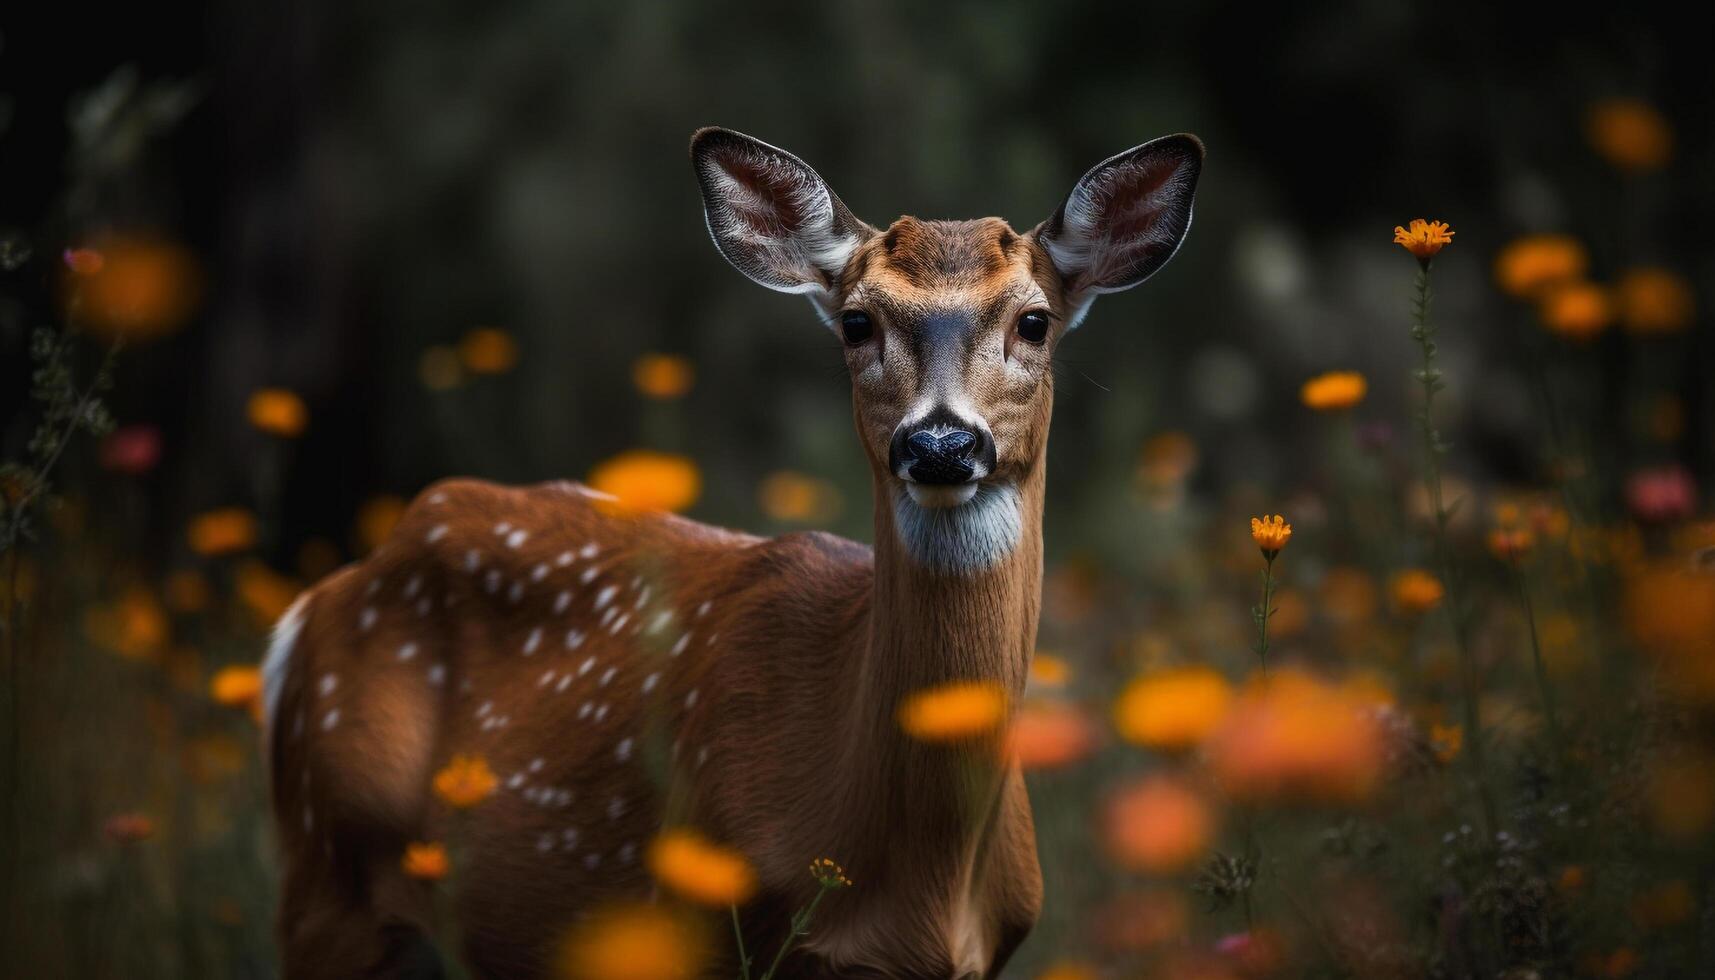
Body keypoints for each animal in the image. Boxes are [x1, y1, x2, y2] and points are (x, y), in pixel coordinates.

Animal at [264, 126, 1207, 974]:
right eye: (856, 322)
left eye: (1035, 321)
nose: (939, 443)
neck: (924, 892)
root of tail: (311, 609)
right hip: (325, 875)